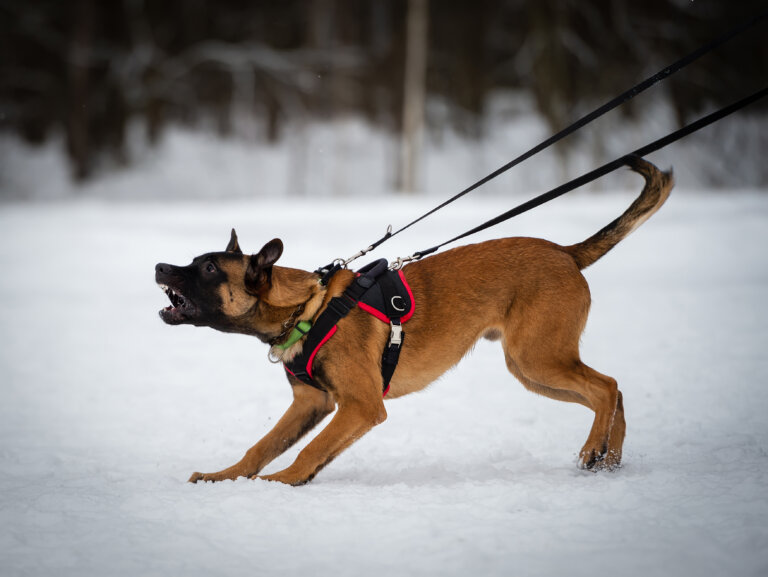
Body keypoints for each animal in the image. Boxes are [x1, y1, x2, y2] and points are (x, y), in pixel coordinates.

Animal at [156, 155, 672, 484]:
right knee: (614, 394)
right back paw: (609, 459)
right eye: (196, 261)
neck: (309, 308)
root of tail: (566, 253)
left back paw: (593, 451)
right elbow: (260, 447)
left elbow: (309, 450)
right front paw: (224, 477)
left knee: (606, 387)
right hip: (532, 370)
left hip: (539, 358)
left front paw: (283, 482)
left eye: (208, 268)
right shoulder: (311, 404)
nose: (159, 267)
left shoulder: (361, 406)